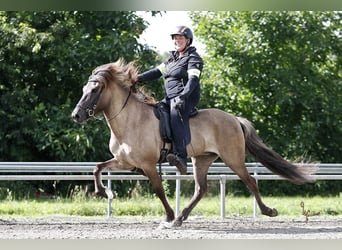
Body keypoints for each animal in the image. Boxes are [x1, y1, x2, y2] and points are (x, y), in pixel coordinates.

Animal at [71, 58, 316, 227]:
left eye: (95, 90)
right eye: (83, 90)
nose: (76, 115)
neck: (131, 120)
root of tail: (234, 119)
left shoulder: (148, 165)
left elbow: (159, 190)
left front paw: (168, 216)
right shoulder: (125, 162)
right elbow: (97, 168)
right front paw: (104, 193)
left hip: (233, 158)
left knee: (250, 182)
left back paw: (268, 211)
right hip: (202, 160)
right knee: (201, 188)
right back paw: (182, 216)